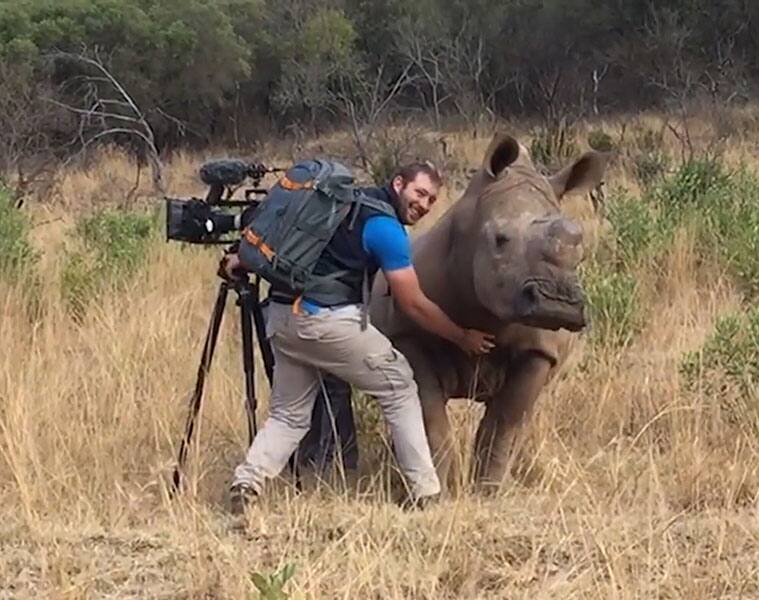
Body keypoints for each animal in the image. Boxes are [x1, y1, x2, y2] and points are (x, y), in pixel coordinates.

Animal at [368, 131, 612, 492]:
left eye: (580, 250)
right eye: (500, 240)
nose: (557, 304)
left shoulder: (540, 349)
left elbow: (505, 422)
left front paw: (489, 490)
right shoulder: (407, 334)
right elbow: (429, 415)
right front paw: (446, 489)